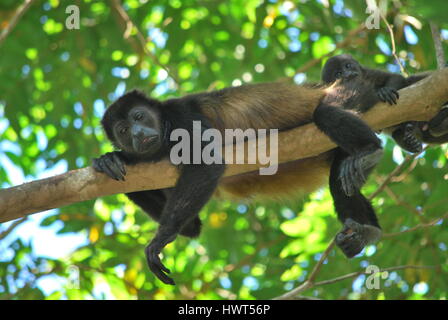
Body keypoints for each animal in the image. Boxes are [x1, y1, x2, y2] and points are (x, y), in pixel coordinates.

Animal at [93, 80, 384, 284]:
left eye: (139, 117)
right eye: (123, 130)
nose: (138, 134)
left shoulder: (182, 116)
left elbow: (207, 163)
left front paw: (159, 239)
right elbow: (191, 227)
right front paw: (113, 159)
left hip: (350, 94)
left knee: (326, 113)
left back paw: (370, 150)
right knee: (340, 181)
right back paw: (366, 232)